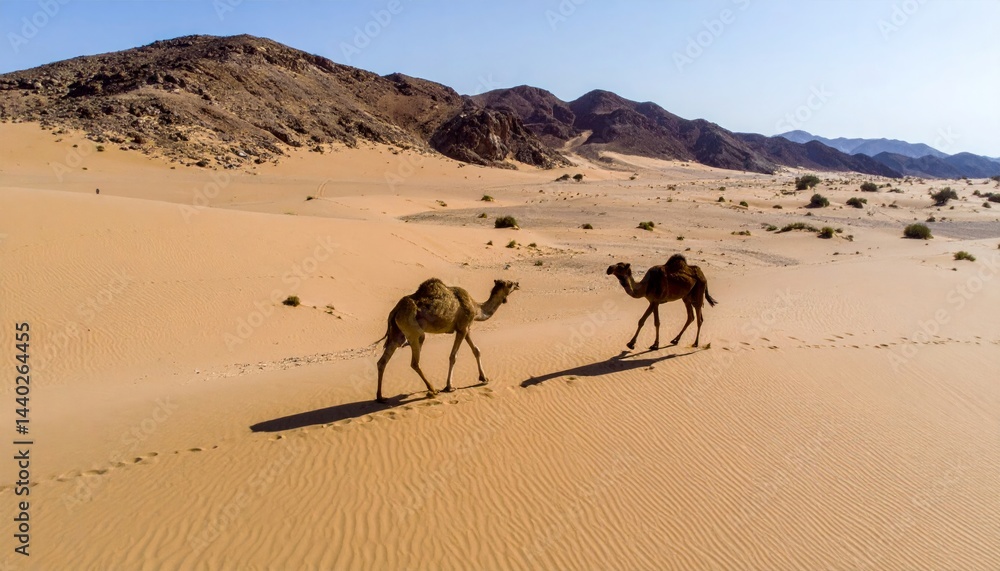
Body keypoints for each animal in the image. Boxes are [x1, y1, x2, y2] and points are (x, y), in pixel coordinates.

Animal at [375, 278, 519, 403]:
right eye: (510, 283)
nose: (518, 283)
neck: (476, 308)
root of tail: (394, 311)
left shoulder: (465, 328)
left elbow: (476, 350)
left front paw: (484, 378)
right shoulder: (462, 328)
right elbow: (453, 356)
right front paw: (449, 386)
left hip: (397, 334)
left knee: (382, 361)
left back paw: (380, 397)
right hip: (414, 331)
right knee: (415, 361)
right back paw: (433, 389)